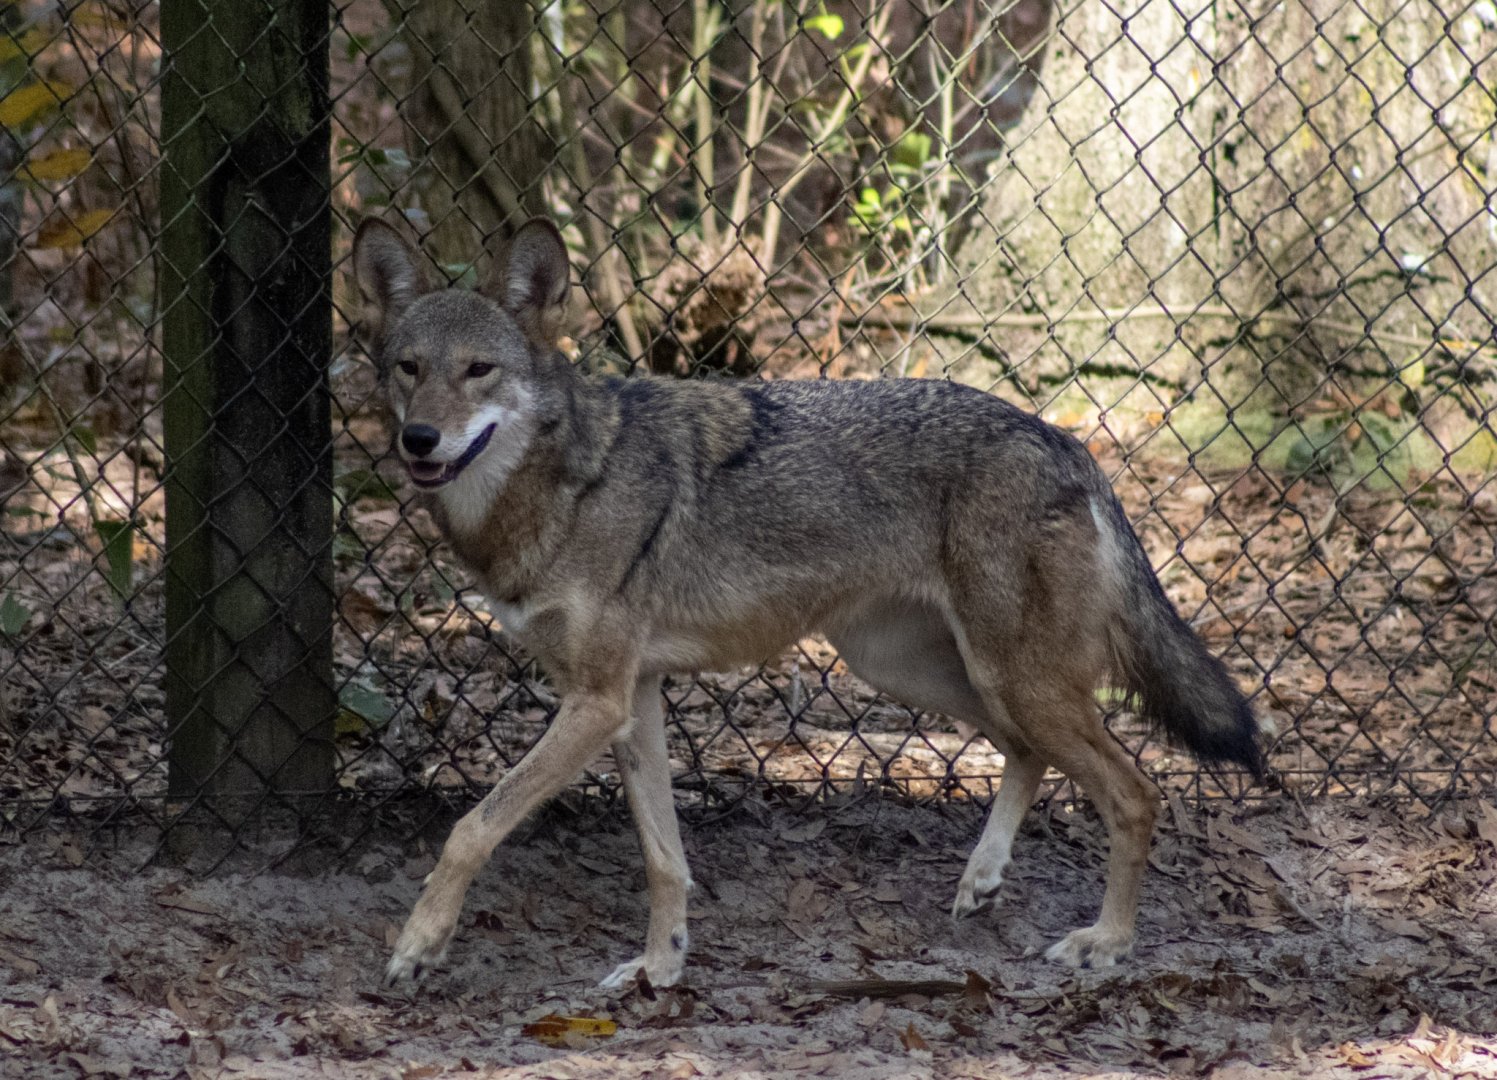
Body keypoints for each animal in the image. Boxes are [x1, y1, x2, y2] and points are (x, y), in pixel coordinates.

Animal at [351, 216, 1264, 989]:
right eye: (408, 368)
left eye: (479, 371)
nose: (418, 440)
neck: (564, 486)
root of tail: (1066, 441)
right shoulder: (628, 700)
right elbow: (662, 858)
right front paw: (660, 967)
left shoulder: (596, 701)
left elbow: (472, 826)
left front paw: (418, 946)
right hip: (922, 671)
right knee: (1025, 752)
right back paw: (982, 879)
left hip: (1009, 678)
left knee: (1135, 792)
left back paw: (1105, 943)